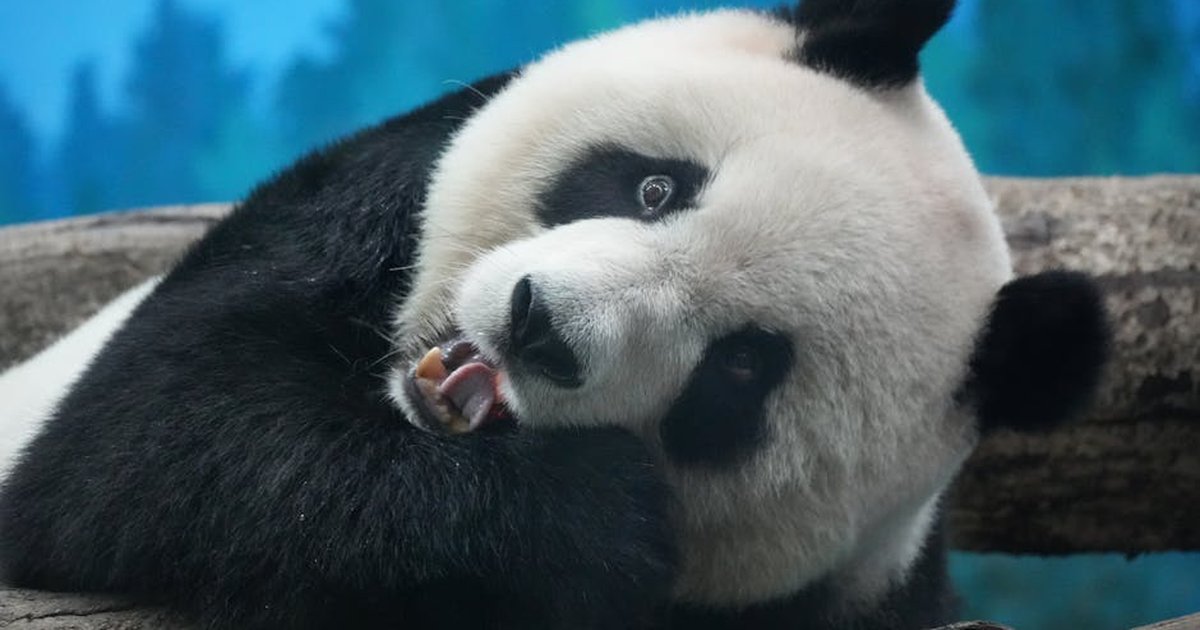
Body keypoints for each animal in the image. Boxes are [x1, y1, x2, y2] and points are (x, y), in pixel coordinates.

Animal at [0, 1, 1109, 628]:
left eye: (741, 371)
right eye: (657, 188)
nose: (539, 326)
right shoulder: (355, 206)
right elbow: (151, 438)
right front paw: (590, 513)